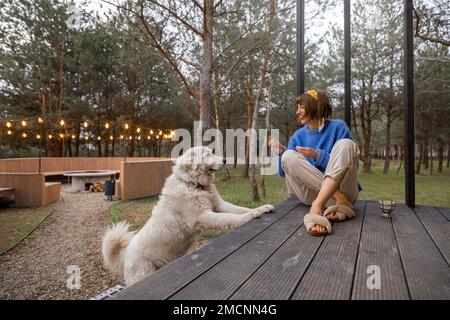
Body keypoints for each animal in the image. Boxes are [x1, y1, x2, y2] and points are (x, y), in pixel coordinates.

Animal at [103, 146, 274, 286]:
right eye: (207, 154)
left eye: (212, 152)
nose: (225, 160)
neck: (193, 184)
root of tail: (125, 254)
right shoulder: (204, 216)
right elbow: (231, 218)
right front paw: (252, 215)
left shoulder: (220, 206)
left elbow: (240, 209)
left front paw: (262, 208)